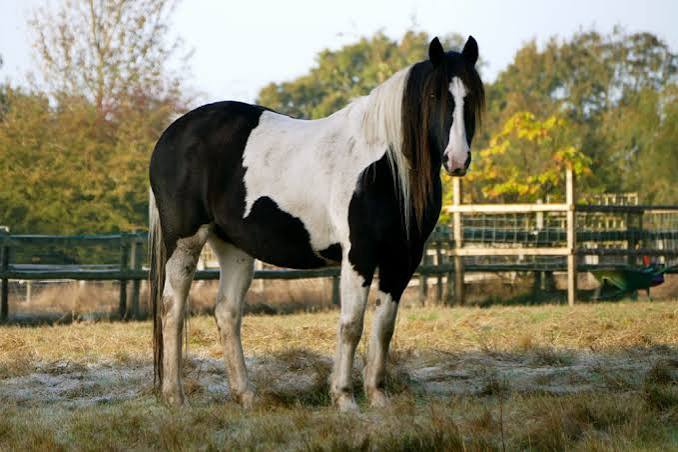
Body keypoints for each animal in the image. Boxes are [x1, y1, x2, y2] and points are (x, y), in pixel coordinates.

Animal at [149, 36, 484, 410]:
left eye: (471, 95)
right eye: (434, 96)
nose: (457, 159)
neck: (382, 166)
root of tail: (172, 134)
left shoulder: (402, 260)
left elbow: (384, 326)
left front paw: (378, 397)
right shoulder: (359, 256)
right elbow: (351, 325)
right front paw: (344, 398)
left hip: (234, 248)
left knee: (227, 312)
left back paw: (246, 395)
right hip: (185, 242)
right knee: (172, 308)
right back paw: (175, 396)